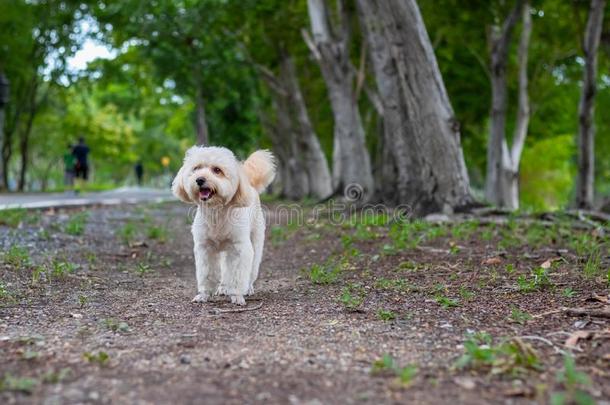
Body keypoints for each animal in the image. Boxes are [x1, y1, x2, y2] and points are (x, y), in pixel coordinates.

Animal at [171, 145, 276, 304]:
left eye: (217, 170)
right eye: (196, 168)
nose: (199, 180)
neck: (216, 213)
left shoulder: (240, 249)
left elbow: (238, 274)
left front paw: (237, 295)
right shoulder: (205, 248)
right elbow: (206, 273)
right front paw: (204, 294)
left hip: (255, 242)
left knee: (251, 269)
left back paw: (248, 288)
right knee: (225, 270)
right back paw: (223, 288)